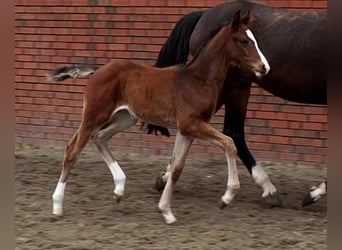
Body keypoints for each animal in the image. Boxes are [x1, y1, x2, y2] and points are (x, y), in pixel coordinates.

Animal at [48, 10, 270, 225]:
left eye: (254, 39)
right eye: (243, 40)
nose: (265, 67)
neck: (199, 79)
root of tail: (97, 71)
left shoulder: (187, 130)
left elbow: (177, 168)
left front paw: (166, 211)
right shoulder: (191, 124)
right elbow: (229, 143)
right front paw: (226, 197)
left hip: (125, 117)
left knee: (100, 138)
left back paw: (119, 189)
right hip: (94, 116)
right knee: (72, 150)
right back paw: (57, 207)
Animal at [148, 0, 328, 207]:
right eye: (244, 41)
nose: (265, 66)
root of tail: (204, 14)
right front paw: (314, 193)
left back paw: (165, 177)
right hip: (234, 87)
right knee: (232, 132)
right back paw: (268, 188)